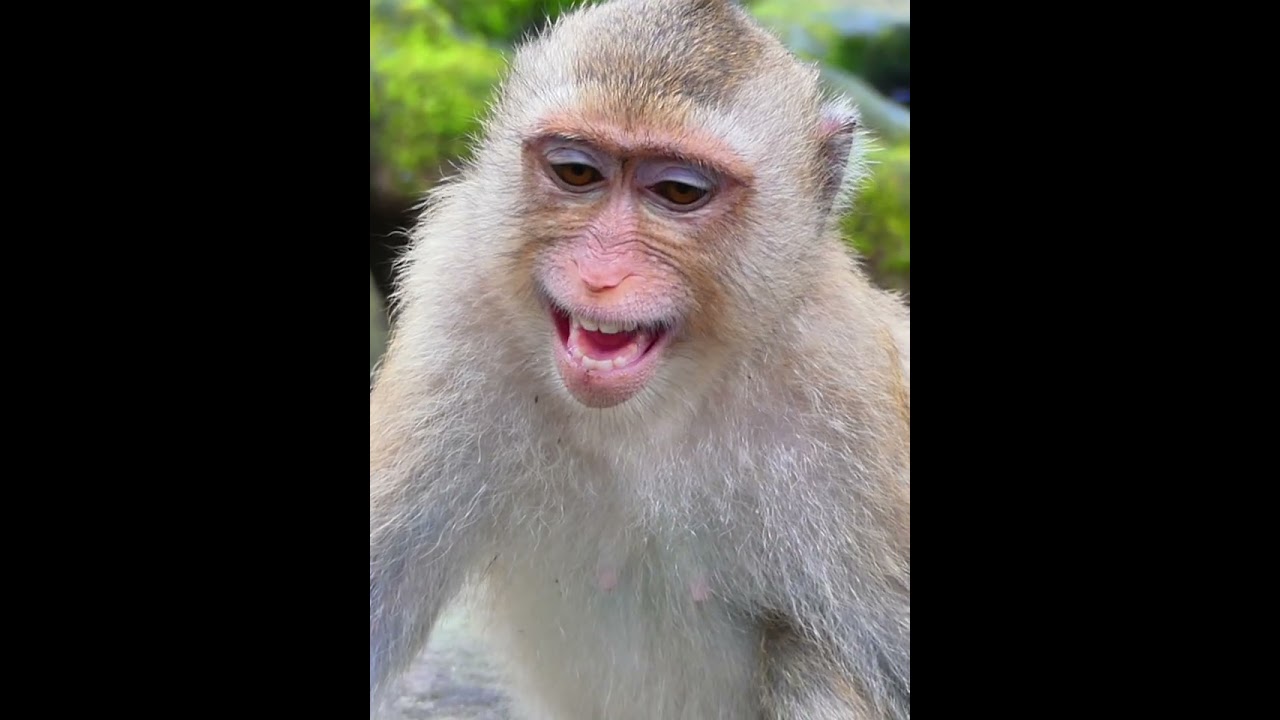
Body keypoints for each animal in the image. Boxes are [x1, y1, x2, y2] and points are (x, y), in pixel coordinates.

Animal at [369, 0, 909, 718]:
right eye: (578, 173)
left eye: (679, 191)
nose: (601, 275)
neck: (648, 416)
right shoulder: (455, 315)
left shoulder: (849, 390)